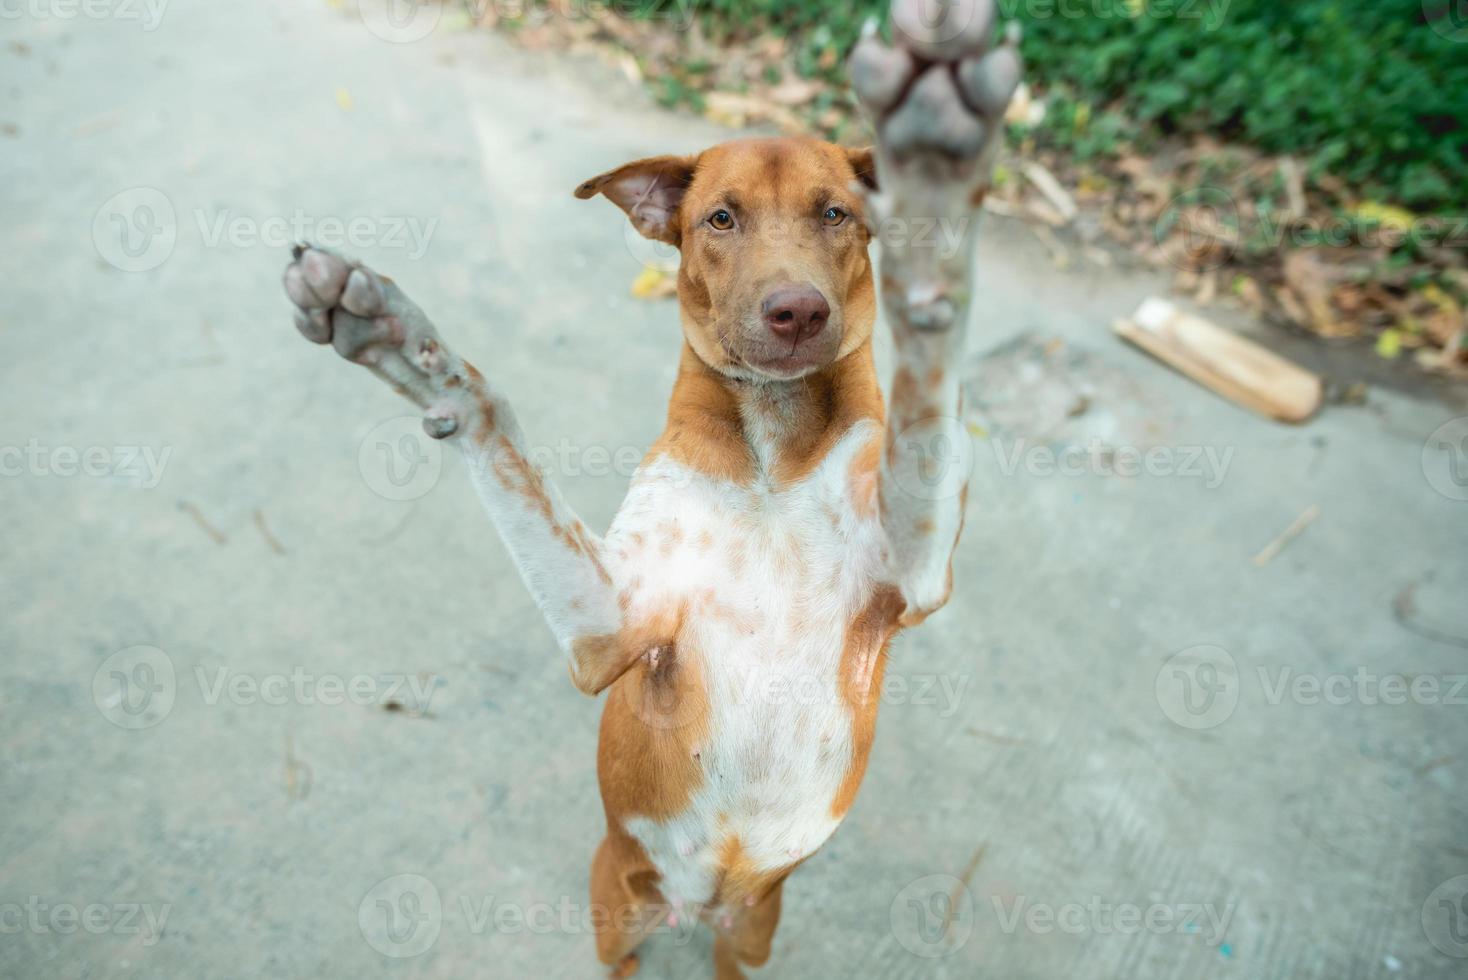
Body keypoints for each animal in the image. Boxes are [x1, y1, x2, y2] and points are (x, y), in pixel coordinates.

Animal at [283, 3, 1021, 974]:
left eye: (835, 214)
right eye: (721, 219)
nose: (797, 311)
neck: (771, 450)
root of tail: (697, 905)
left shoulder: (913, 562)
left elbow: (927, 402)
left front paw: (935, 175)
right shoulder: (613, 624)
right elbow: (499, 431)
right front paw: (408, 347)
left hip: (753, 934)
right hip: (616, 908)